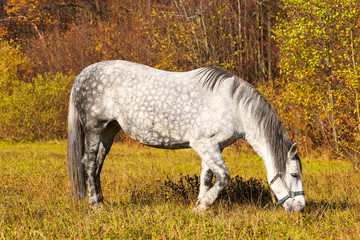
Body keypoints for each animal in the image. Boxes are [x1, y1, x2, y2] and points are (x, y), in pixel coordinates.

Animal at [67, 60, 304, 212]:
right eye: (294, 174)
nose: (300, 208)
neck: (234, 106)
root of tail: (82, 75)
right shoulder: (204, 144)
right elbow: (223, 177)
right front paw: (203, 207)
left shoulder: (213, 146)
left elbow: (207, 177)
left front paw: (200, 204)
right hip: (94, 129)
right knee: (89, 163)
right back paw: (95, 205)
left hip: (109, 131)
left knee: (98, 165)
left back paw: (101, 200)